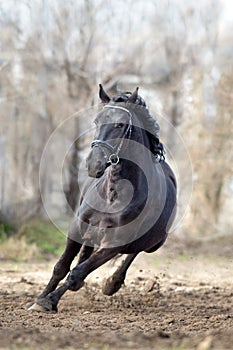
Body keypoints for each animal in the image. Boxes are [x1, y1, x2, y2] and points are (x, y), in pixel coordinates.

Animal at [28, 85, 177, 312]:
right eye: (96, 121)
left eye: (120, 124)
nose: (93, 164)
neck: (113, 194)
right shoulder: (78, 227)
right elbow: (61, 267)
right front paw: (39, 299)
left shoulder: (114, 243)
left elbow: (77, 273)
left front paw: (49, 301)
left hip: (155, 243)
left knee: (132, 253)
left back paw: (112, 283)